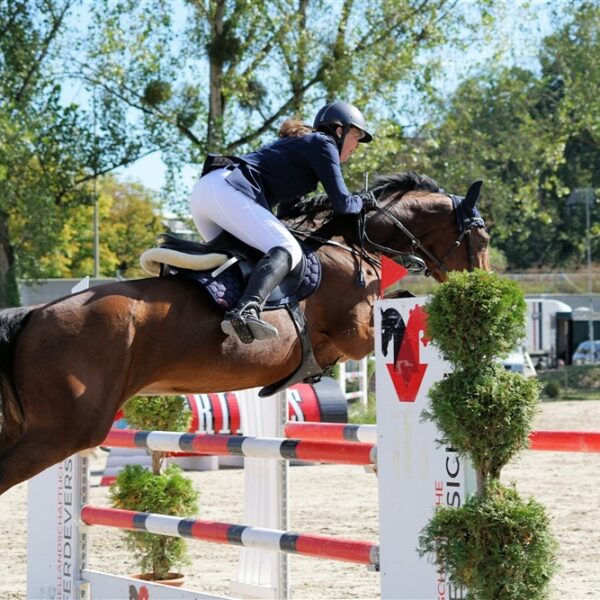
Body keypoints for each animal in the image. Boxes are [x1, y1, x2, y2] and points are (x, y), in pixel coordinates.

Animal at [0, 171, 490, 494]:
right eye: (481, 241)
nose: (482, 286)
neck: (346, 244)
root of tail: (33, 316)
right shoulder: (353, 331)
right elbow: (394, 313)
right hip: (64, 432)